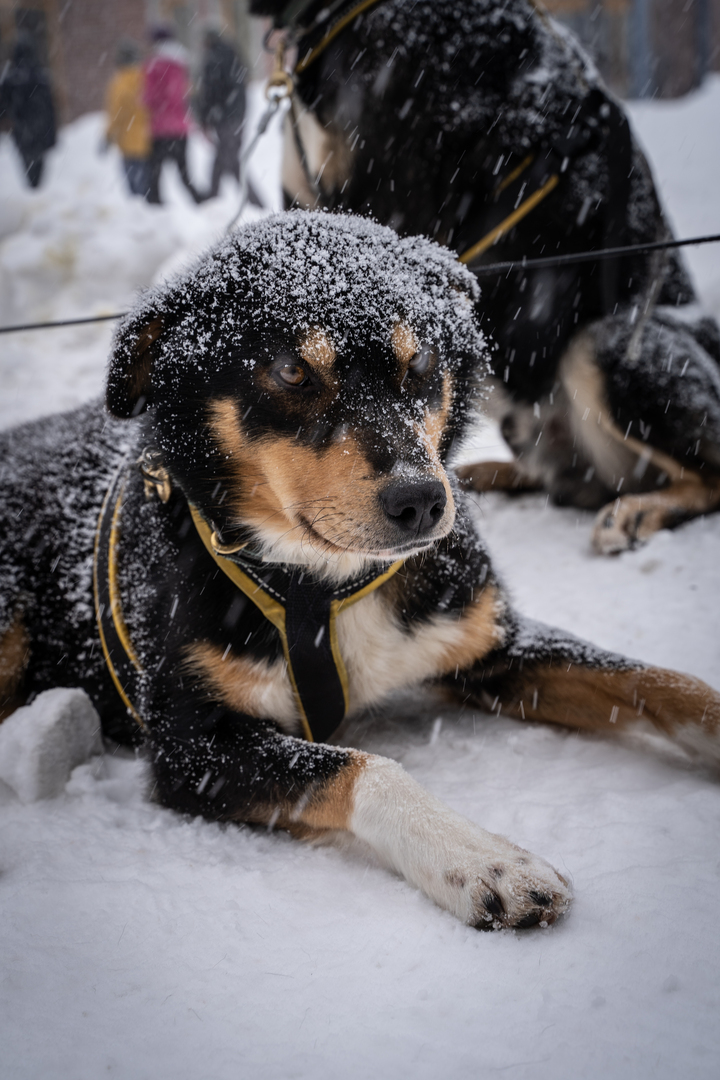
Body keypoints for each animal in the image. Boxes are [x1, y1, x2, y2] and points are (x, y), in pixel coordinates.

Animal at [1, 212, 720, 928]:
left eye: (421, 360)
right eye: (293, 370)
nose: (422, 500)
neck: (318, 586)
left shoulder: (492, 640)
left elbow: (659, 682)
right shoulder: (193, 746)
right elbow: (368, 768)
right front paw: (484, 858)